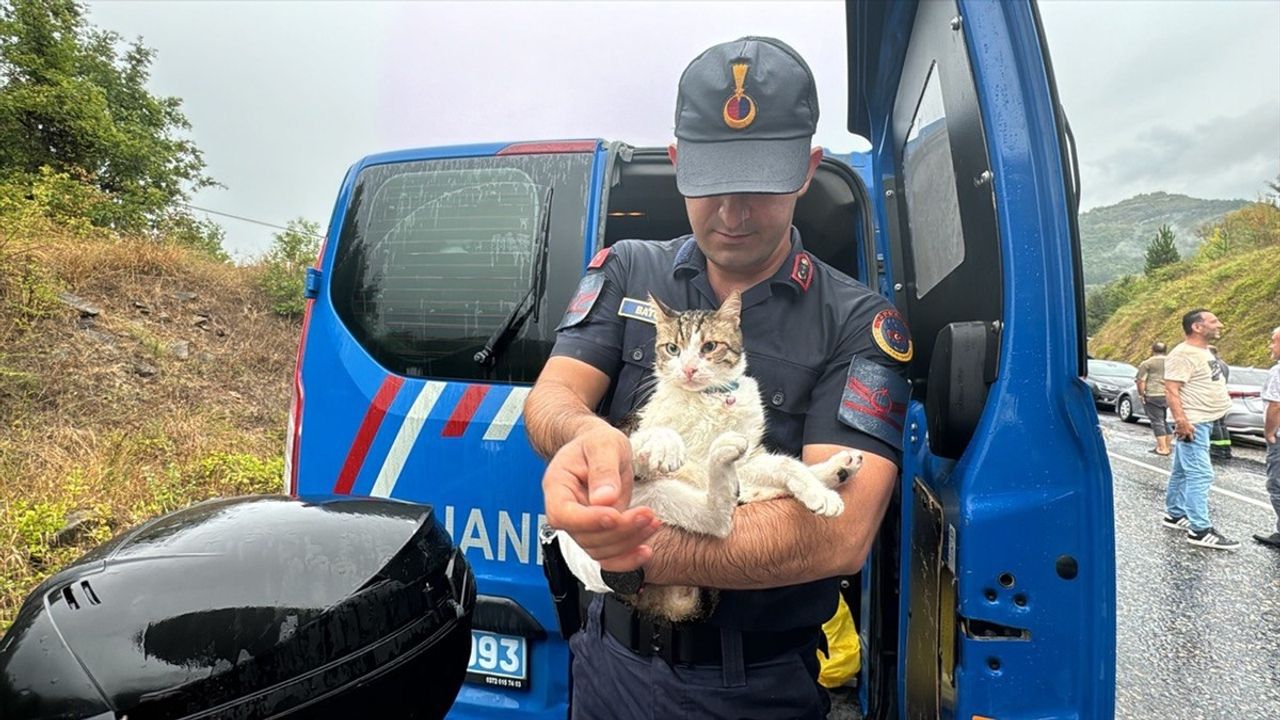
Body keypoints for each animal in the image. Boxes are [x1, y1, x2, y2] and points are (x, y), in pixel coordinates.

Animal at [552, 288, 860, 620]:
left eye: (709, 346)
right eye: (673, 348)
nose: (688, 369)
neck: (708, 401)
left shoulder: (749, 459)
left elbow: (785, 465)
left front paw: (817, 491)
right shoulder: (630, 435)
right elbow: (636, 439)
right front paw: (664, 442)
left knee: (724, 512)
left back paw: (833, 470)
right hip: (647, 498)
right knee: (716, 519)